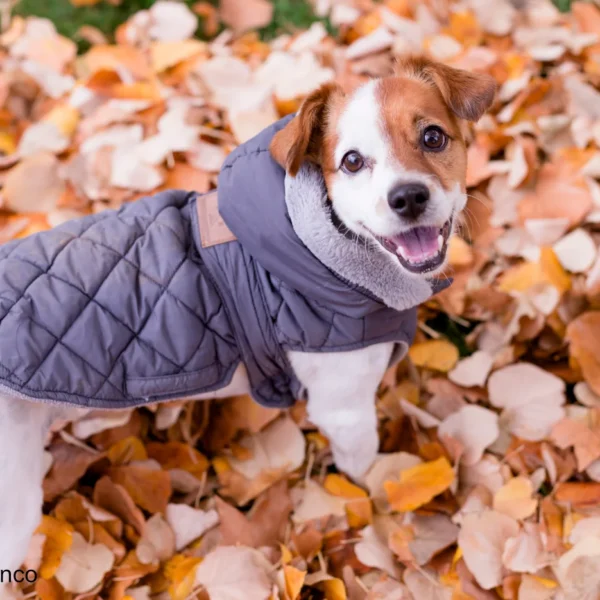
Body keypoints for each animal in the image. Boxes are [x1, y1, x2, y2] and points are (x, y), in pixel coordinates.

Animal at [0, 54, 496, 580]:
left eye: (433, 137)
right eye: (352, 161)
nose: (408, 197)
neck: (311, 247)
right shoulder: (345, 412)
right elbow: (366, 475)